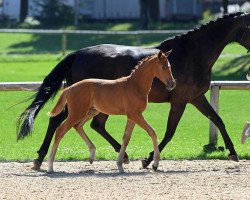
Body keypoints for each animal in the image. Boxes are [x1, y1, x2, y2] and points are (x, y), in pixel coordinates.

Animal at [47, 50, 176, 173]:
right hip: (77, 113)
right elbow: (152, 132)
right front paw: (155, 164)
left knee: (77, 126)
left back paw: (92, 155)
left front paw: (120, 165)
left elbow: (126, 138)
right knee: (60, 130)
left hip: (91, 112)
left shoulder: (132, 116)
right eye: (163, 67)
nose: (172, 83)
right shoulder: (135, 114)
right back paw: (50, 166)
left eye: (170, 66)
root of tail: (69, 88)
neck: (135, 86)